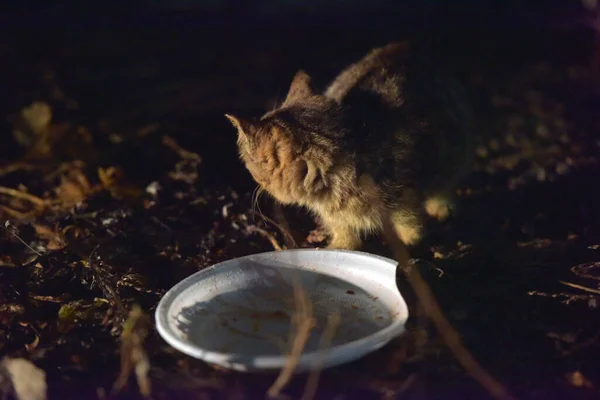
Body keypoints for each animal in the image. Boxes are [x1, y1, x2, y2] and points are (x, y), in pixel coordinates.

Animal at [224, 39, 474, 247]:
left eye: (249, 166)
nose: (254, 183)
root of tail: (405, 45)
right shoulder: (334, 217)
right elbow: (343, 233)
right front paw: (341, 246)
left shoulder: (408, 194)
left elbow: (410, 223)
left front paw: (409, 241)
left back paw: (442, 206)